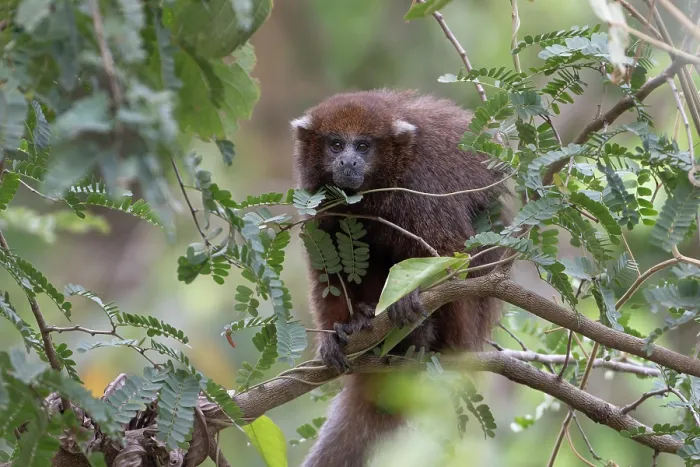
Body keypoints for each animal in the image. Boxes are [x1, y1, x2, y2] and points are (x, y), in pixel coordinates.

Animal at [290, 89, 511, 467]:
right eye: (336, 144)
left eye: (363, 146)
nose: (348, 162)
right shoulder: (317, 201)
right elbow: (327, 271)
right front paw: (334, 334)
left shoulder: (420, 187)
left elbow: (451, 250)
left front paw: (411, 297)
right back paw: (364, 321)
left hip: (466, 329)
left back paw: (422, 335)